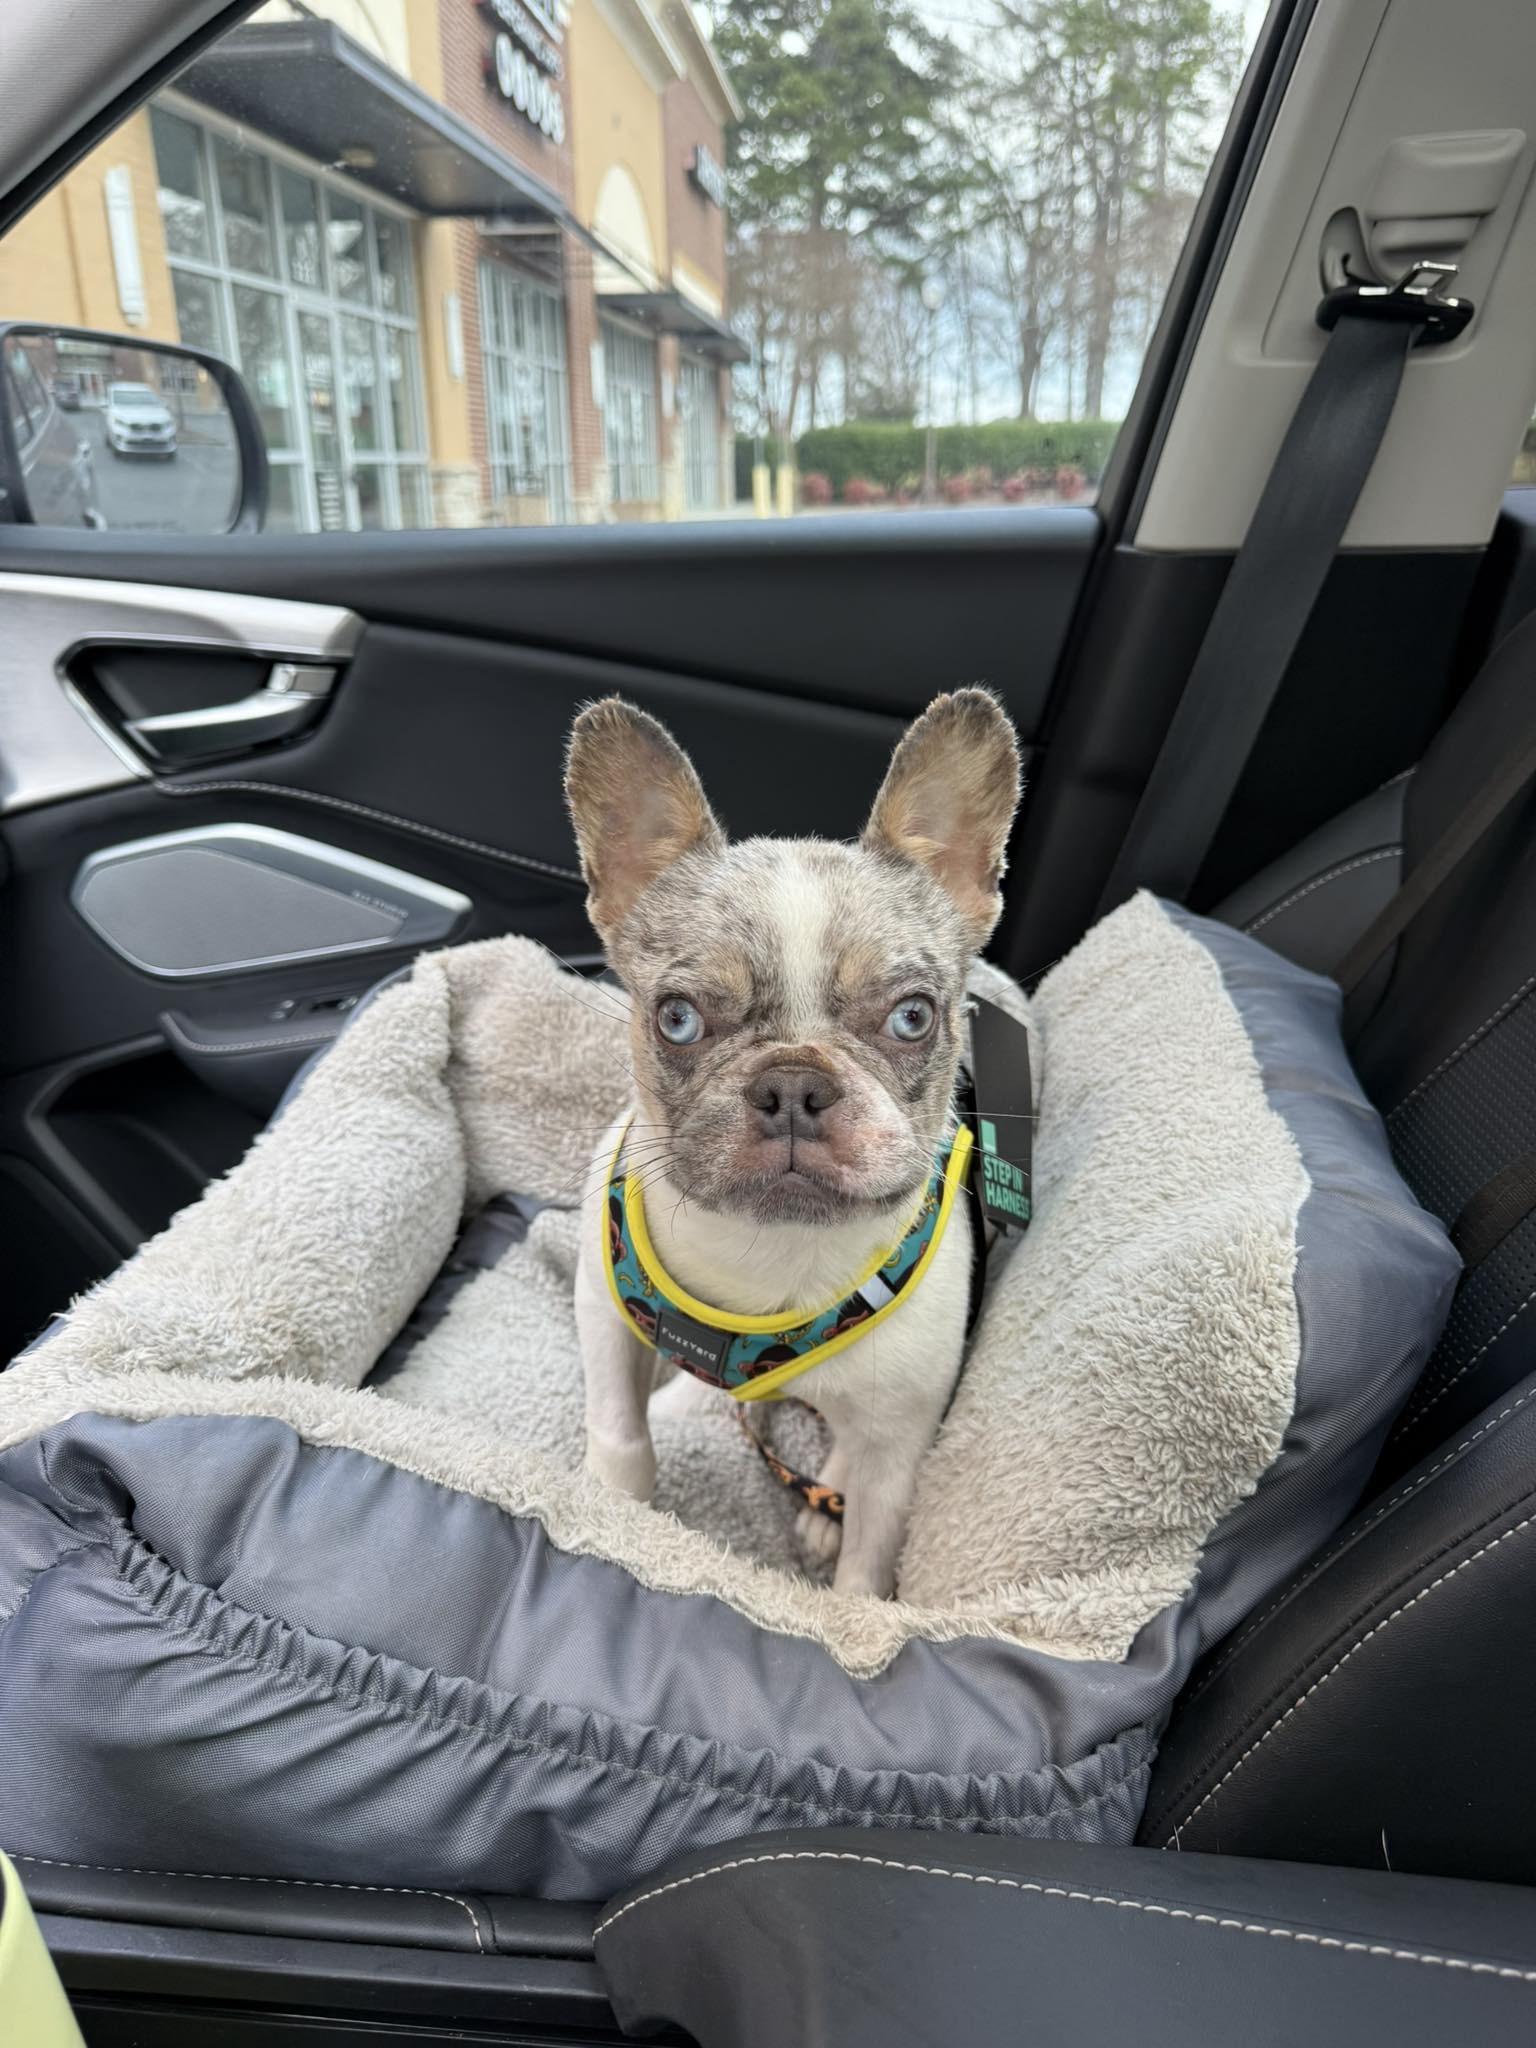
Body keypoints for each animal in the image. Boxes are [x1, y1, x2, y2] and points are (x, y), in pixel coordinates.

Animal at [566, 688, 1022, 1598]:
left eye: (913, 1018)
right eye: (677, 1019)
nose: (792, 1087)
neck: (765, 1250)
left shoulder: (903, 1447)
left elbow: (868, 1561)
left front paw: (849, 1604)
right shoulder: (604, 1316)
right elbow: (622, 1435)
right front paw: (613, 1509)